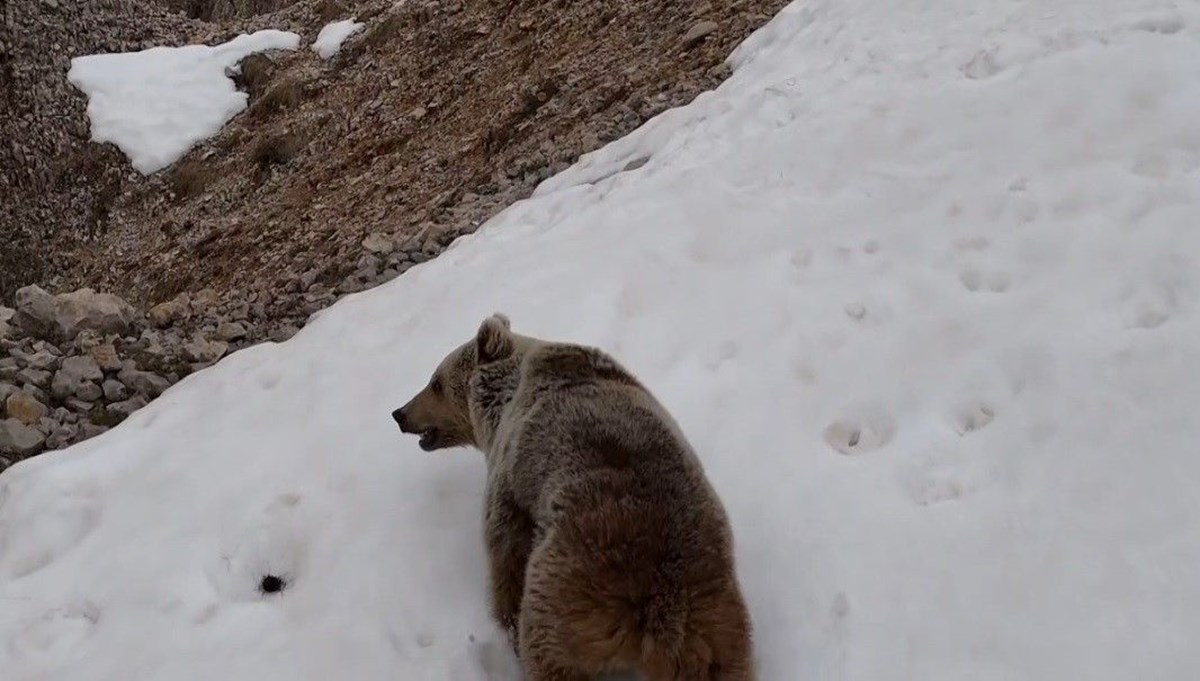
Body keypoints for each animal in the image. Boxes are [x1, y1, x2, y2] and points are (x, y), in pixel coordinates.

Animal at [391, 314, 748, 681]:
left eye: (435, 382)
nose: (400, 413)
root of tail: (659, 613)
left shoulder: (510, 478)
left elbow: (506, 555)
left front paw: (506, 623)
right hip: (714, 625)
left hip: (565, 600)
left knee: (546, 652)